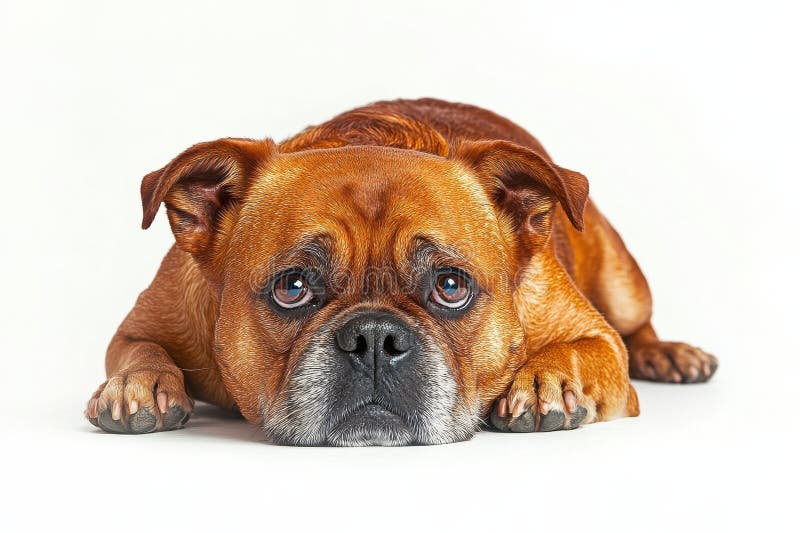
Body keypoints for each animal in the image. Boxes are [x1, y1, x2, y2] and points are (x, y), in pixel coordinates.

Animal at [85, 98, 717, 445]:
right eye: (293, 287)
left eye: (451, 286)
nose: (373, 338)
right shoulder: (145, 324)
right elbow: (141, 351)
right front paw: (137, 385)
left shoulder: (598, 339)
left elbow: (583, 351)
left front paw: (544, 381)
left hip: (622, 282)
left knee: (638, 325)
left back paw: (671, 354)